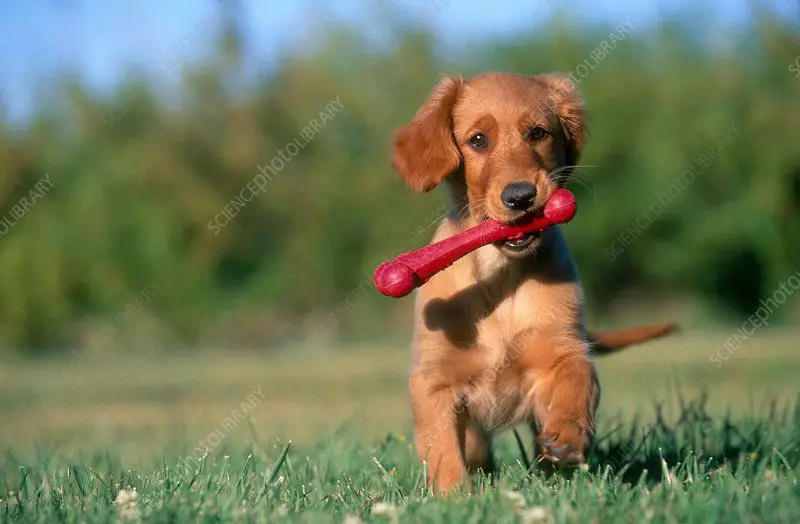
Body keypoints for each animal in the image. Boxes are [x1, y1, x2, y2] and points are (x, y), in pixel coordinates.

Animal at [390, 71, 680, 494]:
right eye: (478, 140)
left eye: (538, 133)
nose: (521, 196)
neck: (500, 274)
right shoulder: (434, 380)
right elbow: (442, 448)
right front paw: (456, 497)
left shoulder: (561, 347)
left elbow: (578, 378)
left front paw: (568, 435)